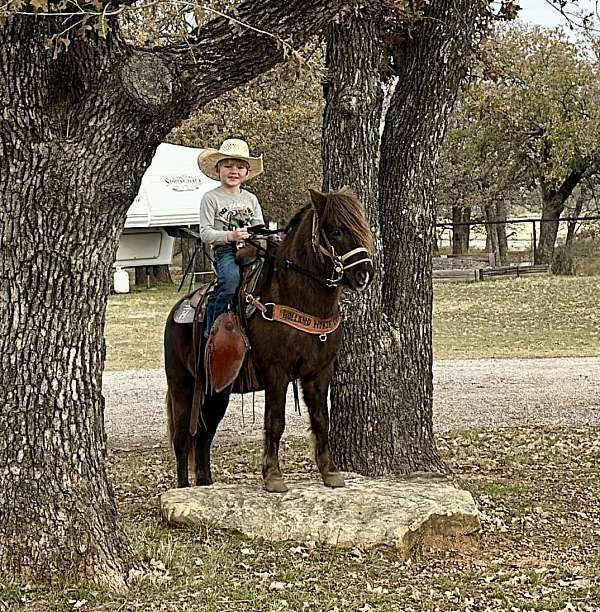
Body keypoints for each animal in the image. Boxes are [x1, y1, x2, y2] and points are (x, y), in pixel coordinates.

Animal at [162, 186, 372, 492]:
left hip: (216, 393)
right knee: (181, 438)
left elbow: (321, 419)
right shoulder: (276, 372)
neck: (297, 298)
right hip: (182, 386)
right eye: (335, 231)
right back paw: (183, 488)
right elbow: (275, 421)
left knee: (203, 437)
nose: (364, 274)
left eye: (362, 226)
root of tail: (179, 309)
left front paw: (330, 472)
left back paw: (205, 484)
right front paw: (273, 475)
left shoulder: (319, 372)